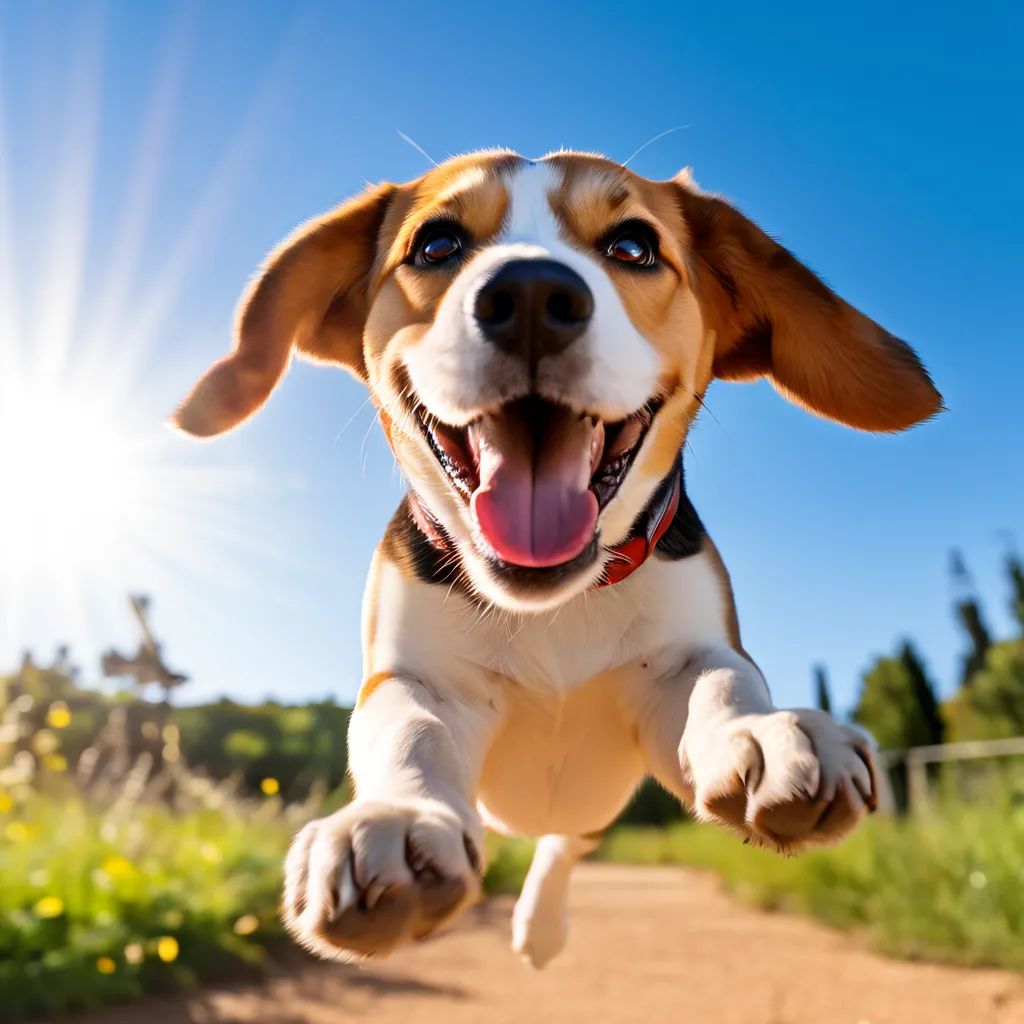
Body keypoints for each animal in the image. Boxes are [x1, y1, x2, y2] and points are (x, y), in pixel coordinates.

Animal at [169, 148, 942, 962]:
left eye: (633, 246)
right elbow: (410, 729)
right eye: (436, 243)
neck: (554, 603)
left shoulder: (679, 666)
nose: (533, 294)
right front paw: (393, 822)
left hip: (598, 805)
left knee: (567, 841)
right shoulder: (416, 680)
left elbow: (722, 683)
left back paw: (541, 924)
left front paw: (767, 734)